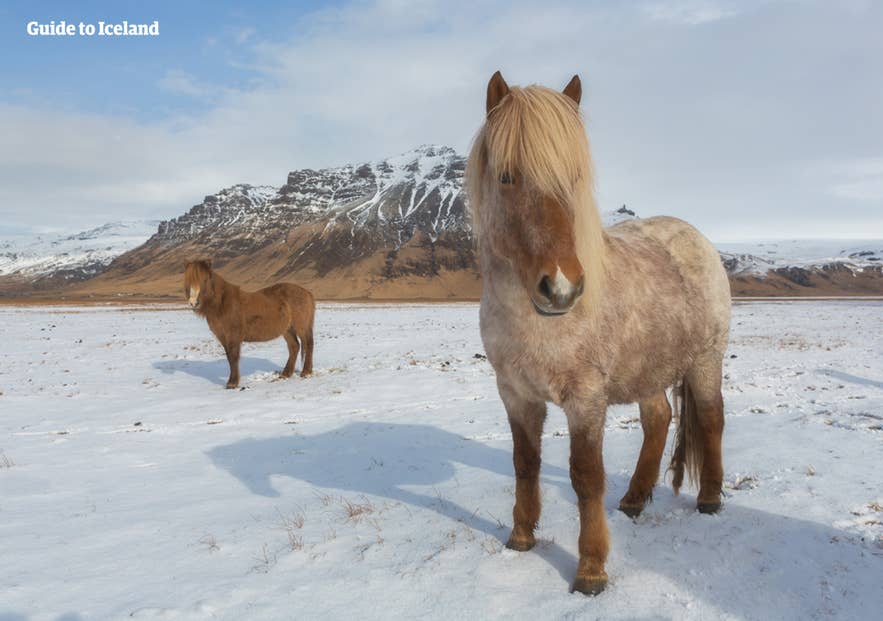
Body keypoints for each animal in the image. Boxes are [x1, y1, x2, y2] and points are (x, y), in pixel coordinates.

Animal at [183, 260, 315, 388]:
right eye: (188, 281)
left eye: (205, 279)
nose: (193, 303)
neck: (222, 304)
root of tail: (307, 292)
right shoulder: (223, 337)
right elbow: (229, 357)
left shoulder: (233, 336)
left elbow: (233, 357)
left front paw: (232, 383)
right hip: (287, 329)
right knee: (294, 346)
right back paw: (286, 374)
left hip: (302, 327)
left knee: (308, 344)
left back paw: (306, 372)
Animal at [465, 71, 731, 595]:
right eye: (506, 177)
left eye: (574, 178)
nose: (561, 288)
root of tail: (698, 238)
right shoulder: (515, 394)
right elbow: (525, 463)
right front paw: (521, 536)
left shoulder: (585, 398)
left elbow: (585, 476)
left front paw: (591, 570)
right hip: (649, 369)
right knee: (659, 419)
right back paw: (634, 499)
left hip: (705, 361)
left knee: (711, 419)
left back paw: (709, 499)